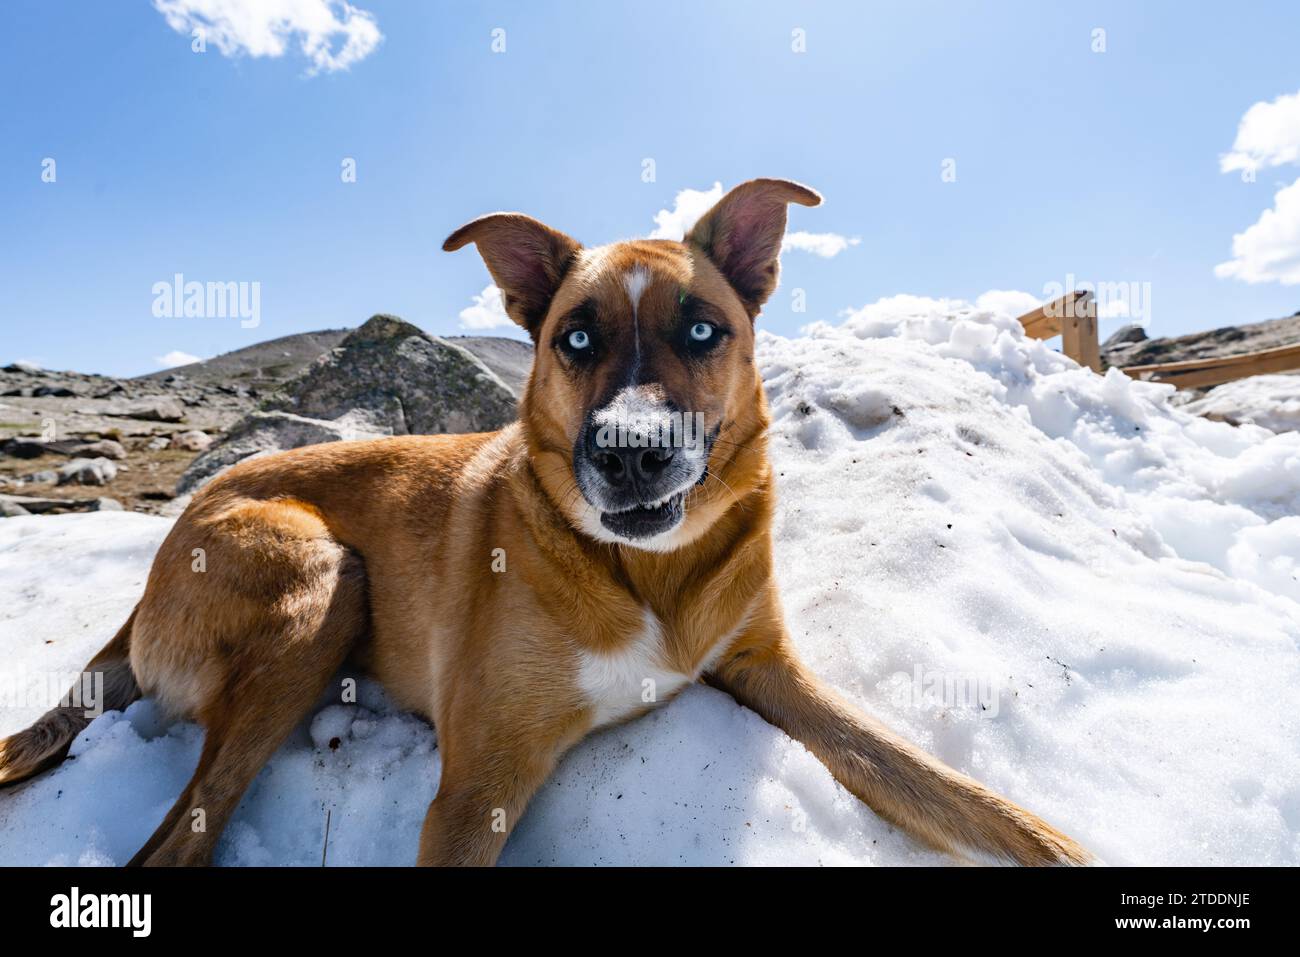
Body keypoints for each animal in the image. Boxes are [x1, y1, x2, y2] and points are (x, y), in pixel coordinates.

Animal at [0, 179, 1092, 868]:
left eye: (705, 329)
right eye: (574, 339)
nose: (632, 452)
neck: (647, 576)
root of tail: (166, 544)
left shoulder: (768, 668)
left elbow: (939, 785)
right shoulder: (478, 782)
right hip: (320, 576)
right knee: (174, 844)